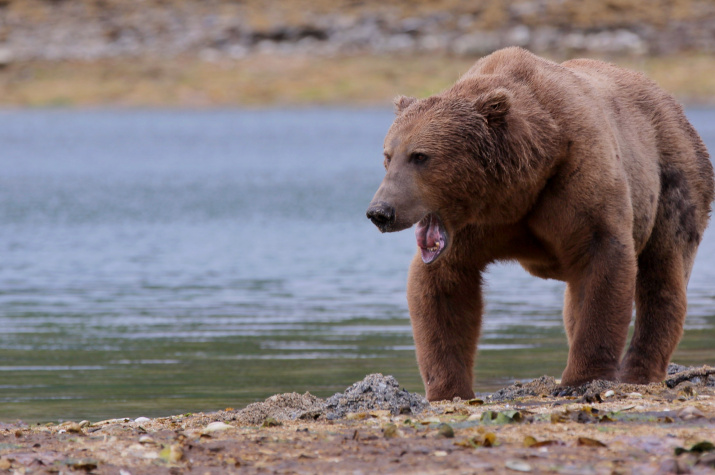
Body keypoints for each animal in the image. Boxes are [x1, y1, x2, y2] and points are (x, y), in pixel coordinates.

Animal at [366, 46, 712, 402]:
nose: (381, 211)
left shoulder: (579, 177)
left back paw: (638, 373)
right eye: (388, 155)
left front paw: (582, 378)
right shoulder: (473, 227)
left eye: (420, 156)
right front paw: (449, 390)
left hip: (673, 179)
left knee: (662, 274)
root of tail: (674, 105)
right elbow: (443, 288)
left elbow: (603, 260)